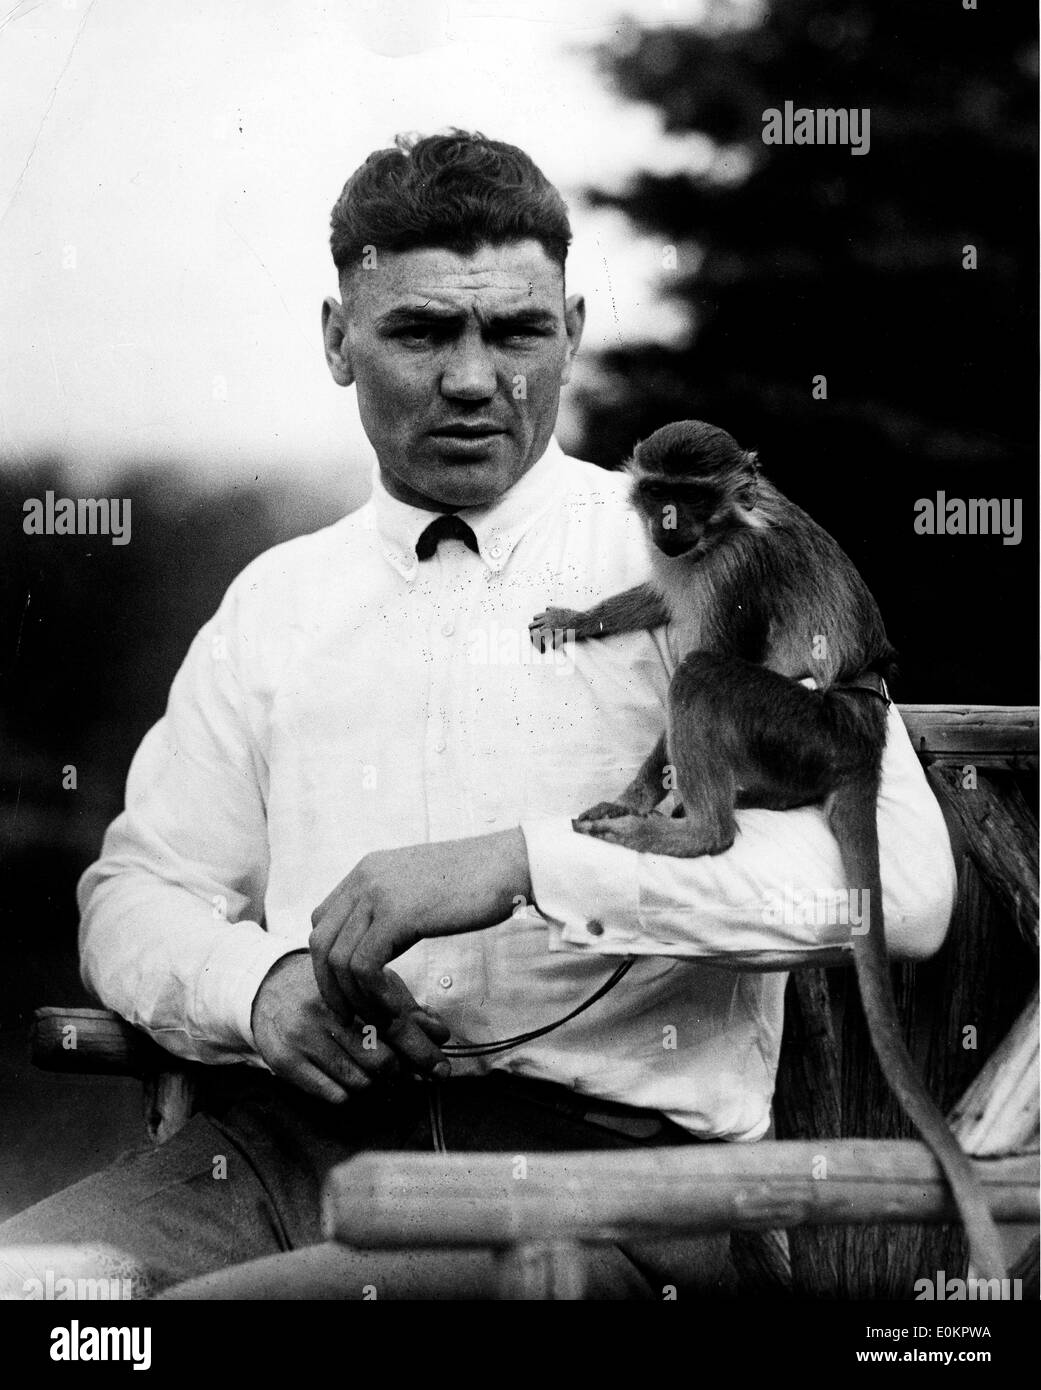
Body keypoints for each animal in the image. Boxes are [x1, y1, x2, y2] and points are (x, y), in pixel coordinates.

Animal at [528, 419, 1006, 1278]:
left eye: (691, 498)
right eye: (658, 494)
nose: (669, 526)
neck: (719, 533)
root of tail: (859, 731)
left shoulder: (733, 572)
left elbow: (710, 651)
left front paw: (641, 802)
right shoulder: (680, 564)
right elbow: (660, 595)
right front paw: (583, 618)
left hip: (797, 727)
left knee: (704, 673)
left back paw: (696, 829)